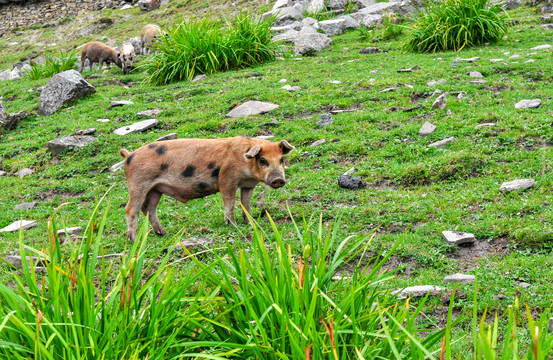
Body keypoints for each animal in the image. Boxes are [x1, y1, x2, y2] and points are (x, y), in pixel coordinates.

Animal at [119, 137, 296, 242]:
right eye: (263, 160)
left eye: (281, 159)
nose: (278, 179)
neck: (245, 162)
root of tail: (129, 156)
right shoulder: (226, 180)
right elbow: (230, 203)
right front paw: (233, 225)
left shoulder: (247, 185)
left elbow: (245, 204)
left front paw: (251, 222)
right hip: (138, 184)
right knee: (130, 209)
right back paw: (134, 240)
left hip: (156, 189)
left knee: (149, 208)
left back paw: (164, 234)